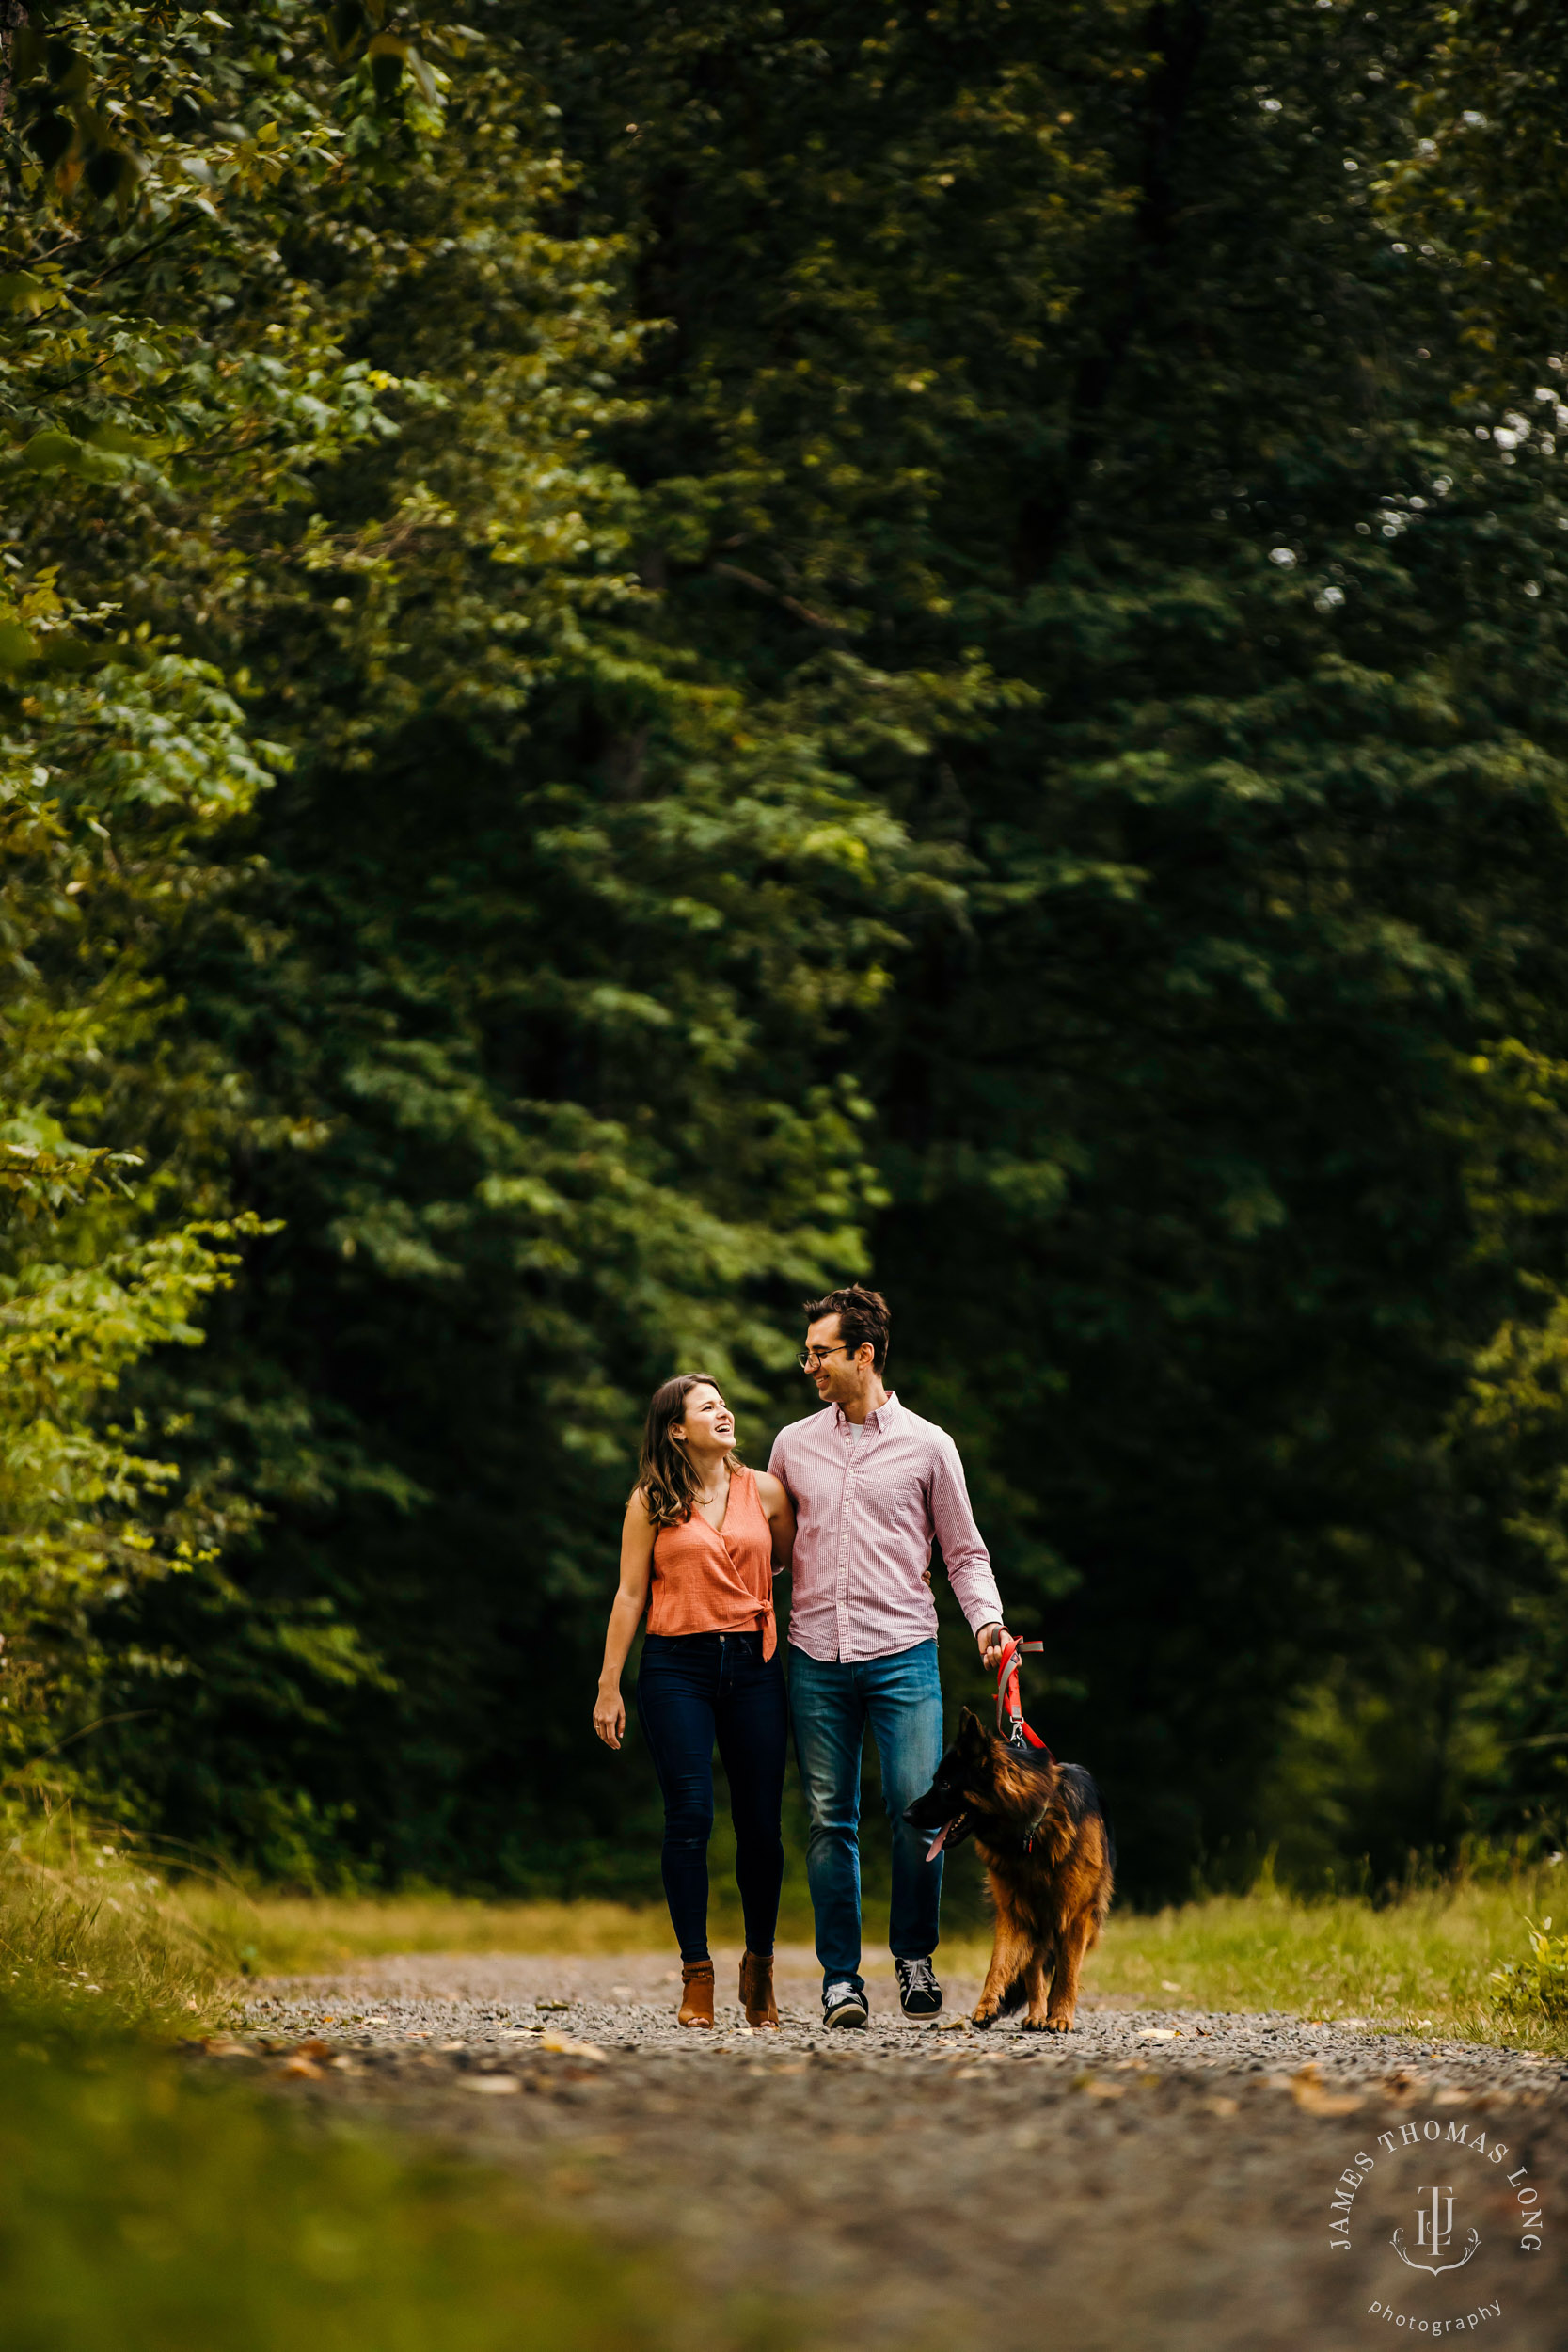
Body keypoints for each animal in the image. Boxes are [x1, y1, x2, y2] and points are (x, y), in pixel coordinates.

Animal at [907, 1703, 1114, 2032]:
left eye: (946, 1784)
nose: (906, 1814)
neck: (1032, 1830)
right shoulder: (1015, 1911)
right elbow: (1000, 1962)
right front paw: (986, 2006)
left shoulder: (1075, 1915)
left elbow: (1067, 1972)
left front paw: (1061, 2015)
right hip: (1036, 1919)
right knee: (1033, 1968)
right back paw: (1036, 2014)